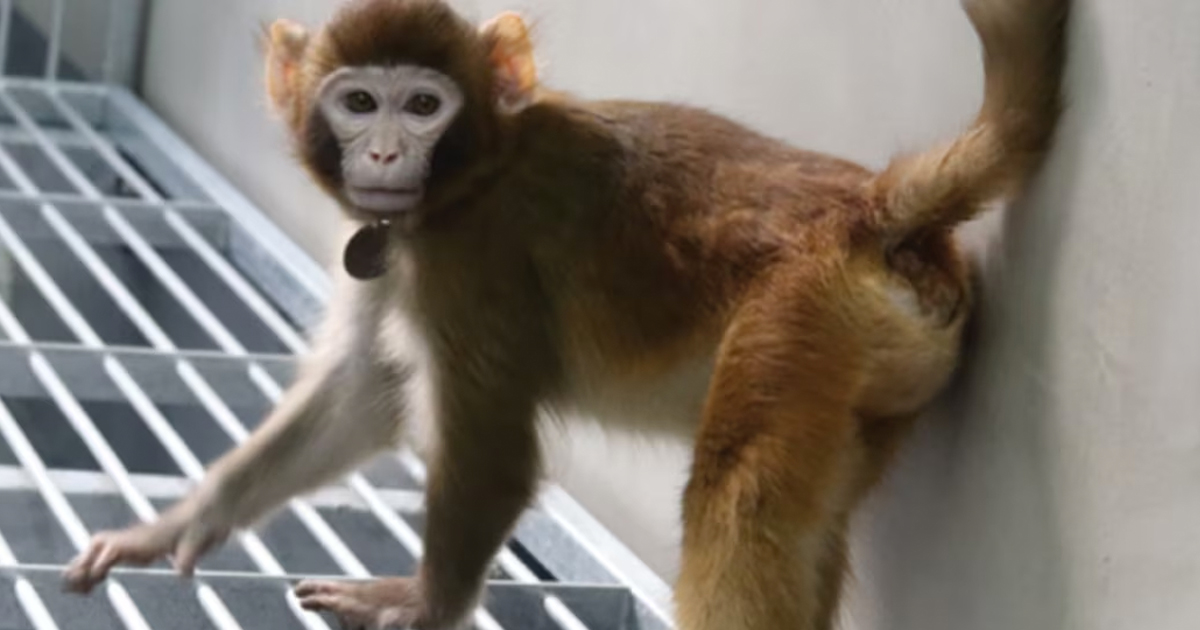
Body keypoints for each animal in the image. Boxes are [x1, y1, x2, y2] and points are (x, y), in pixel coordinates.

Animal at [59, 0, 1070, 628]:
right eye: (358, 101)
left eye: (421, 104)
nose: (382, 153)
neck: (475, 172)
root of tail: (870, 210)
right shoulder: (399, 251)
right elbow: (362, 393)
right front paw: (179, 524)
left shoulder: (472, 261)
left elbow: (494, 447)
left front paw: (428, 603)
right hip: (870, 368)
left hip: (801, 315)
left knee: (739, 502)